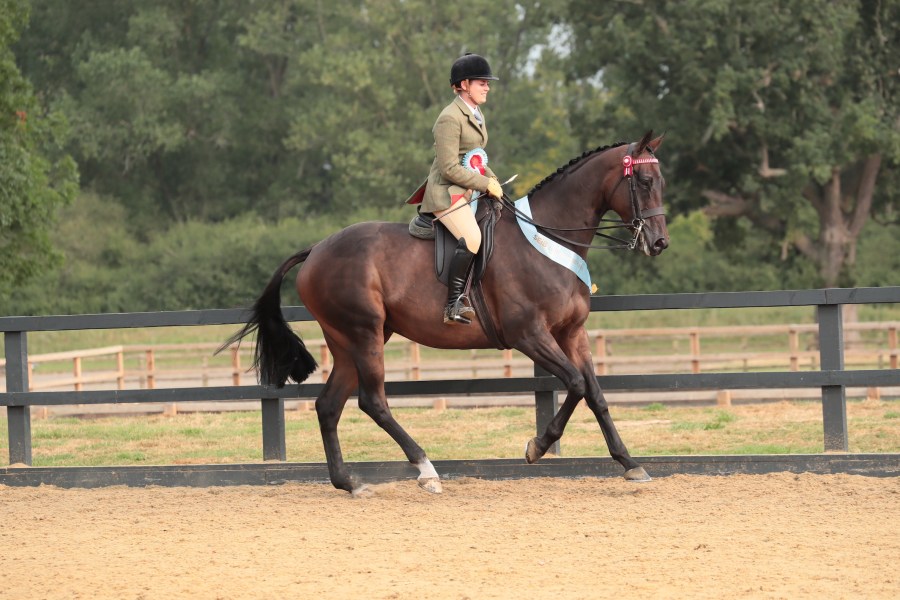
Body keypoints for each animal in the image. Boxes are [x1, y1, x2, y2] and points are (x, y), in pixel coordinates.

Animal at [225, 131, 668, 496]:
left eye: (661, 182)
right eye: (644, 182)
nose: (659, 242)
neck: (547, 237)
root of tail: (316, 249)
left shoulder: (572, 333)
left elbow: (595, 393)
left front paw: (630, 464)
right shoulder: (530, 335)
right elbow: (575, 384)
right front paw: (537, 447)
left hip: (351, 338)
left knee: (329, 405)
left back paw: (349, 482)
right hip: (363, 333)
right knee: (373, 401)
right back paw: (426, 470)